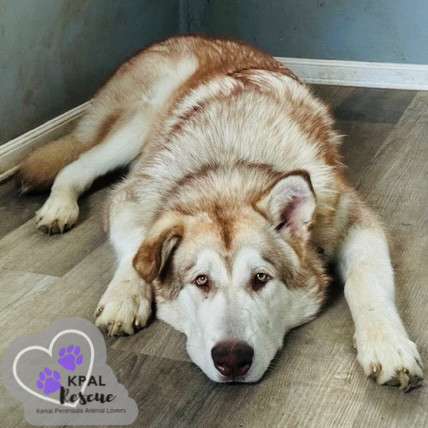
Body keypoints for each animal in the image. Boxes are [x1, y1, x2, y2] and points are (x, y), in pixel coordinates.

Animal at [16, 35, 422, 386]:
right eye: (201, 281)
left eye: (261, 278)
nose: (232, 359)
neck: (229, 166)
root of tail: (190, 36)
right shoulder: (130, 201)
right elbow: (137, 251)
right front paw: (126, 296)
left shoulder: (356, 220)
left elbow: (365, 278)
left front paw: (387, 344)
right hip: (137, 124)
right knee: (76, 165)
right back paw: (58, 207)